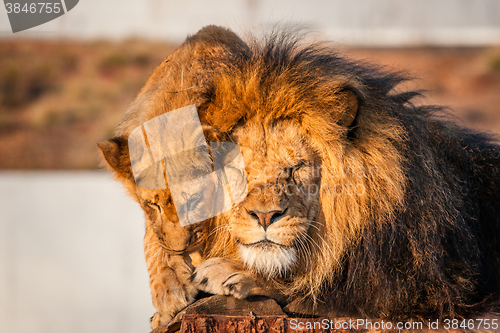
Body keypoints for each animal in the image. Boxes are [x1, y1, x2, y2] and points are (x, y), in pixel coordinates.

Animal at [99, 25, 500, 326]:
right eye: (237, 171)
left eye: (294, 169)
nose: (264, 217)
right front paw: (170, 285)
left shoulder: (424, 287)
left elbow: (313, 284)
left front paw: (230, 272)